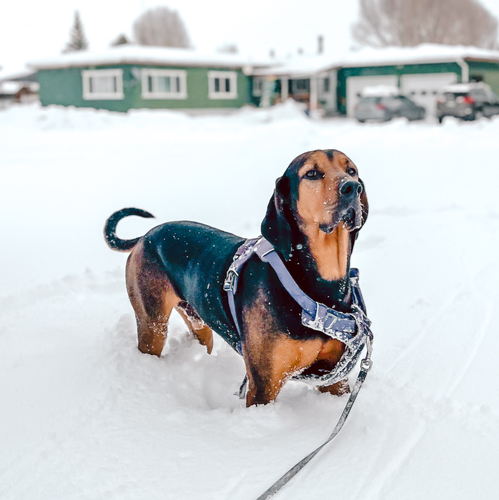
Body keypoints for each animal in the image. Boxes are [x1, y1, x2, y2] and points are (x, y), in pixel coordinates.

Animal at [103, 148, 370, 406]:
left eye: (351, 170)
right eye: (312, 173)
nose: (352, 187)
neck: (319, 285)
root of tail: (145, 236)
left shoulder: (335, 379)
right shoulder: (264, 386)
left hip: (199, 324)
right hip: (153, 324)